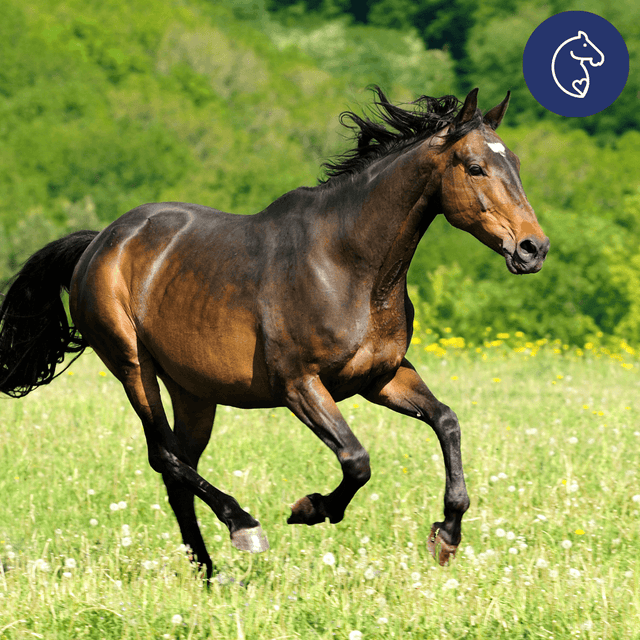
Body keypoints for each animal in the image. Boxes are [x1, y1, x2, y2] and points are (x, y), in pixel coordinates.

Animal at [0, 87, 549, 578]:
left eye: (518, 165)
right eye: (475, 167)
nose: (533, 248)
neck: (349, 266)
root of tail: (101, 242)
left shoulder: (382, 378)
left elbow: (447, 422)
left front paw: (446, 535)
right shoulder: (298, 384)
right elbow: (357, 460)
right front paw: (311, 508)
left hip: (194, 391)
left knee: (177, 467)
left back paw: (209, 571)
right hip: (133, 366)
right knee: (164, 455)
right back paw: (243, 526)